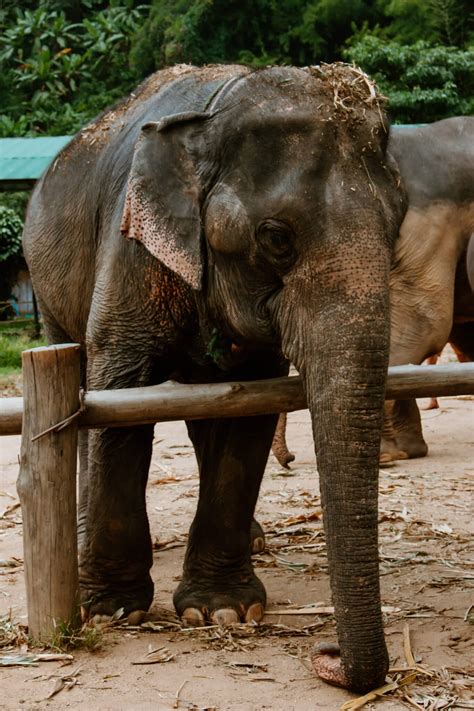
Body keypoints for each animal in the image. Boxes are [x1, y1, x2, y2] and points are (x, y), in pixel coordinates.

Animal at [23, 62, 408, 696]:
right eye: (276, 238)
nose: (325, 653)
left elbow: (245, 414)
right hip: (48, 284)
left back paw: (252, 540)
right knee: (76, 379)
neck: (215, 113)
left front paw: (221, 611)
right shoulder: (130, 251)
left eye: (396, 228)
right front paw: (110, 611)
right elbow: (119, 397)